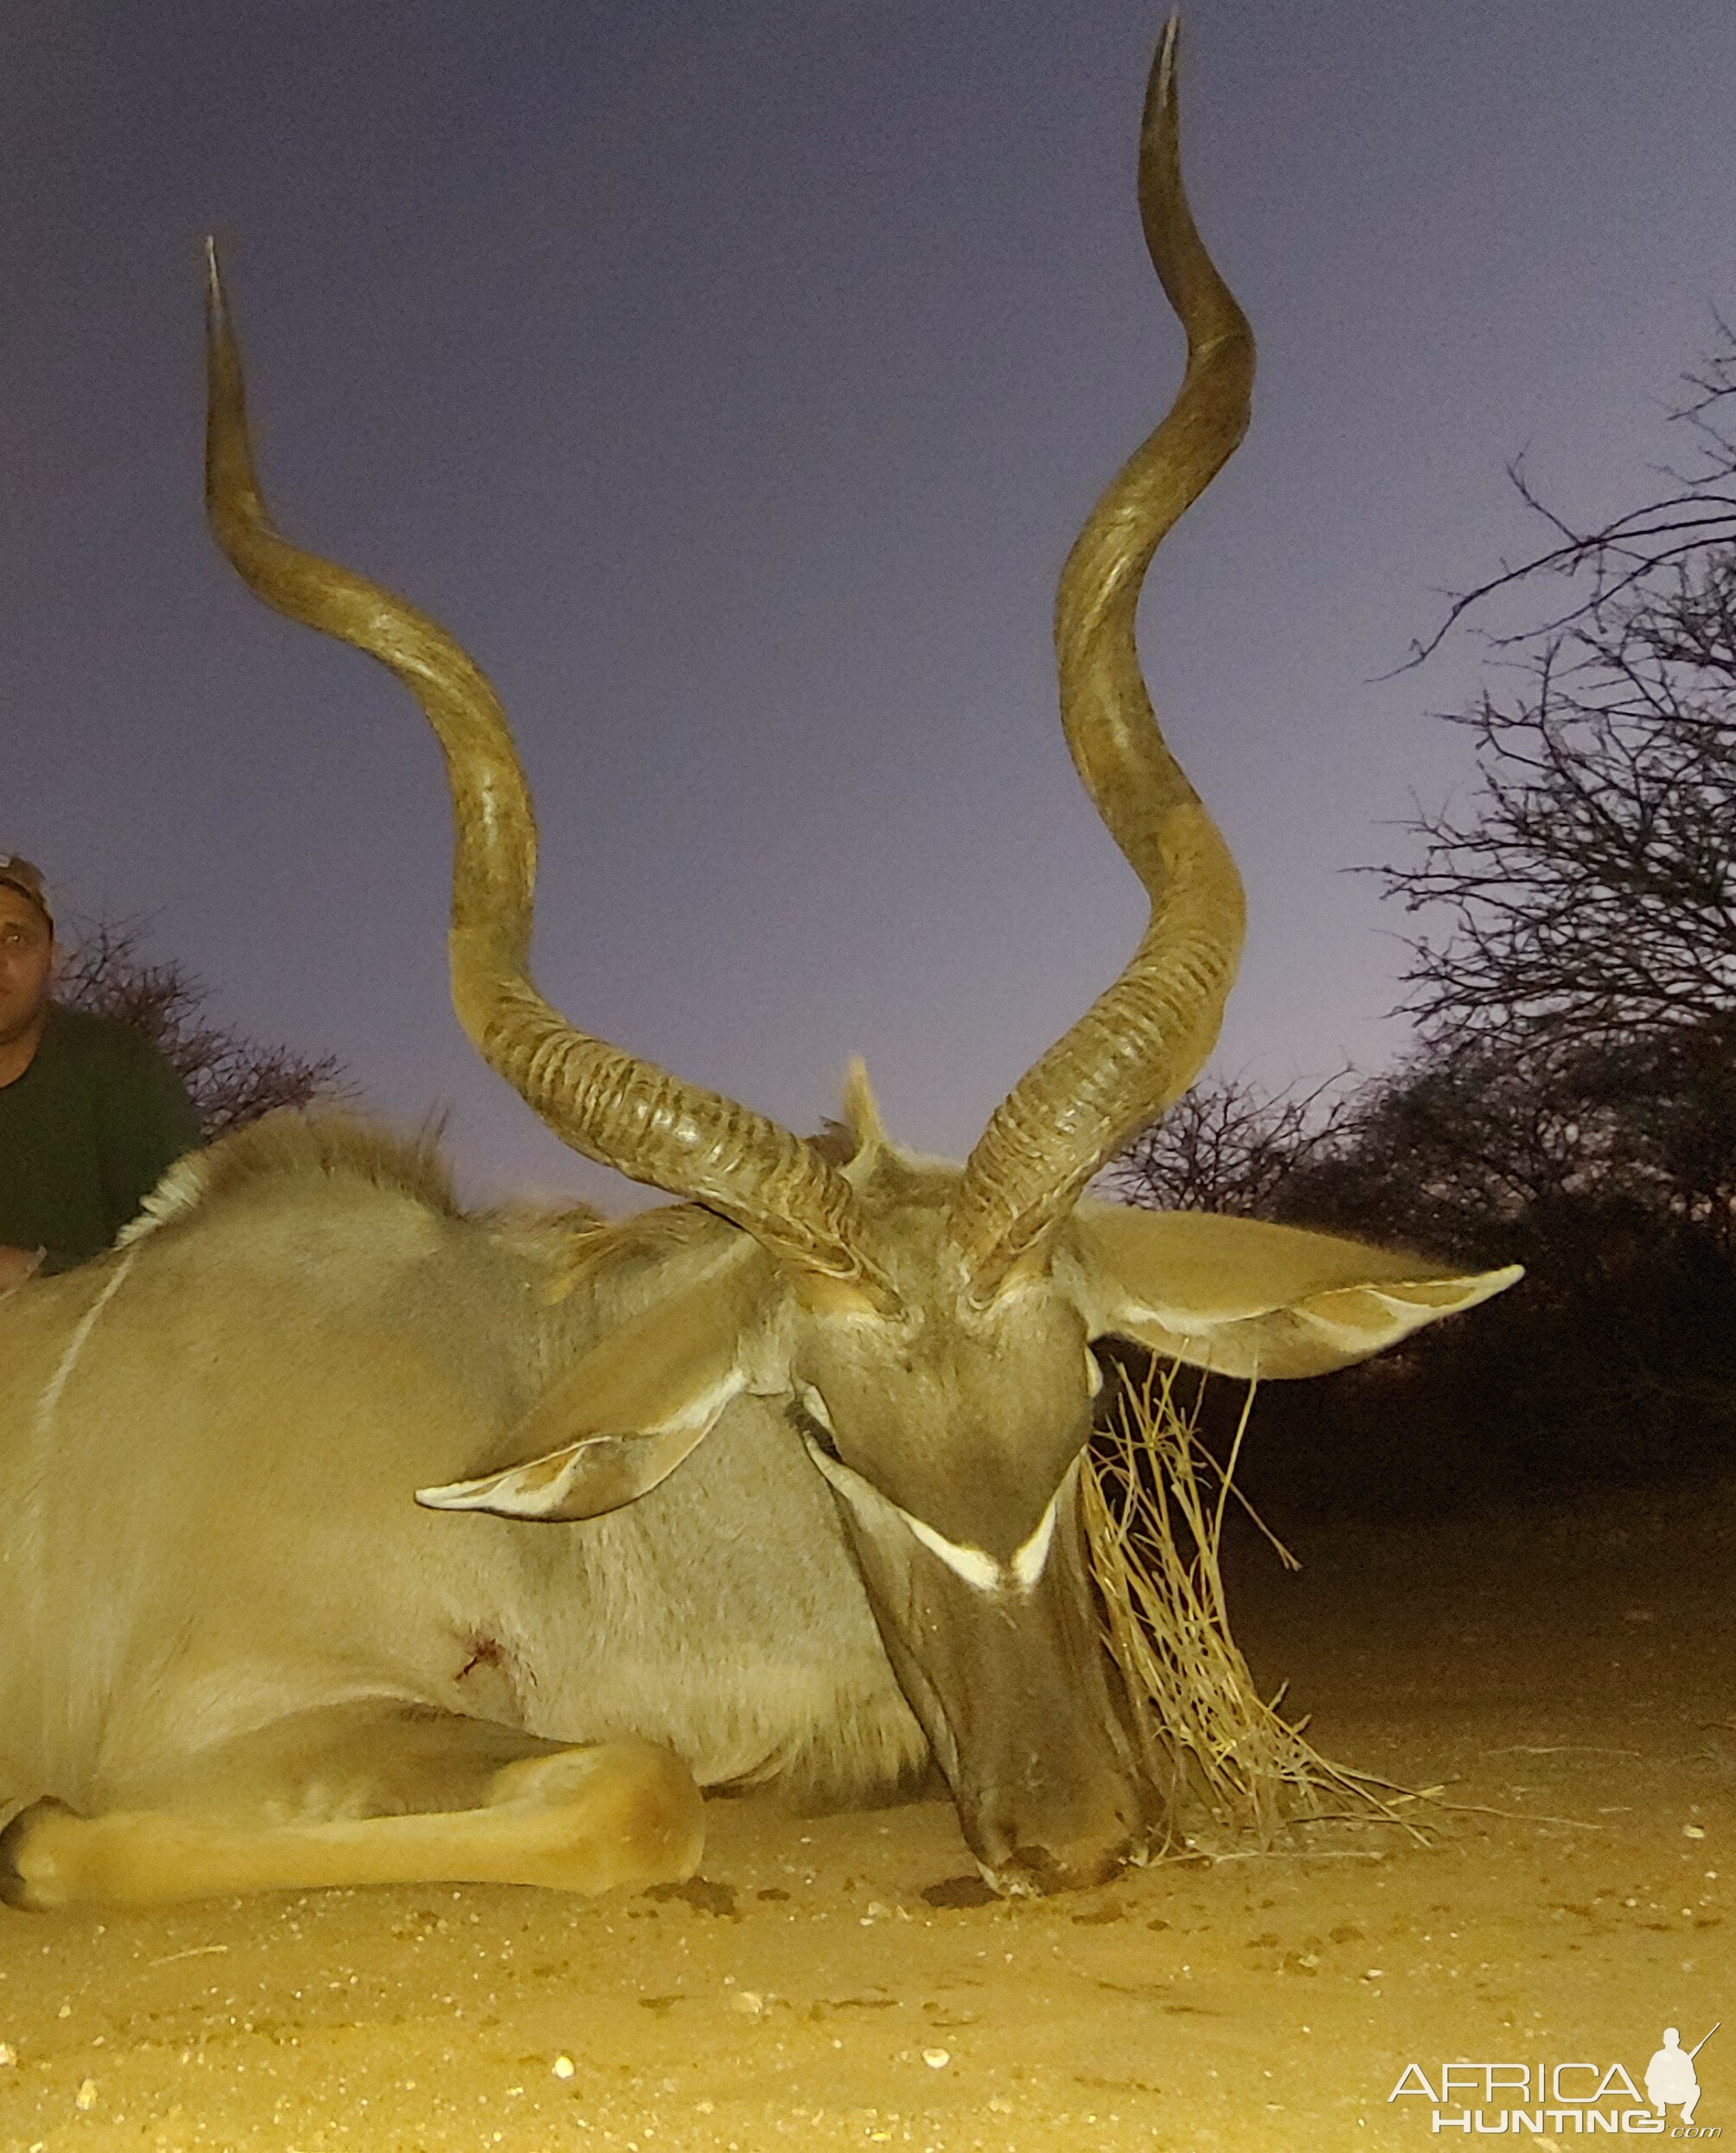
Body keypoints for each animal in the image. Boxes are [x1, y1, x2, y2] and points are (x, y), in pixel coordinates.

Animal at [0, 16, 1524, 1903]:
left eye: (1087, 1398)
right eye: (823, 1432)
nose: (1073, 1835)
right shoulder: (214, 1716)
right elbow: (628, 1793)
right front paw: (41, 1843)